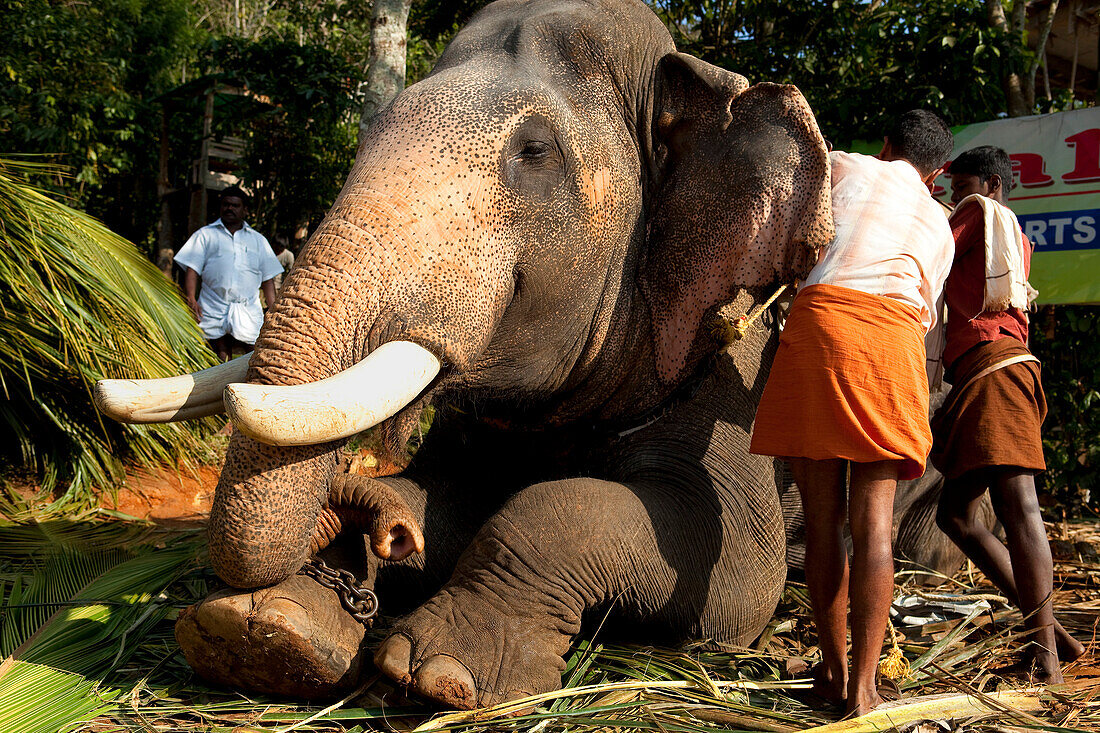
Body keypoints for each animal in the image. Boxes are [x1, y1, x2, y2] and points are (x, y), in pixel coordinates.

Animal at [94, 0, 968, 708]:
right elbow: (450, 493)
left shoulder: (734, 372)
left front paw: (439, 671)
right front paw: (264, 628)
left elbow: (729, 580)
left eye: (535, 151)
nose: (369, 518)